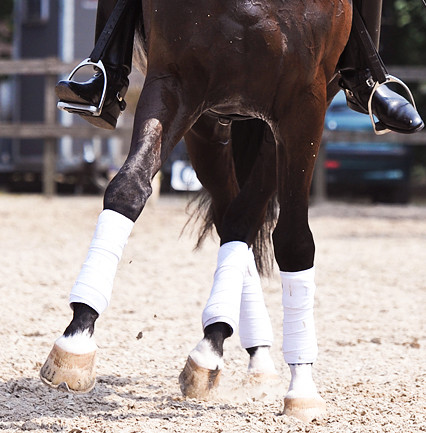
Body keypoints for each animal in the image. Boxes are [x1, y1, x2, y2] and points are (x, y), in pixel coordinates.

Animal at [40, 0, 352, 424]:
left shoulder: (305, 104)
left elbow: (293, 241)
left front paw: (302, 387)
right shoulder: (175, 83)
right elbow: (128, 189)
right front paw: (76, 338)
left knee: (243, 218)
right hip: (210, 126)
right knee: (232, 218)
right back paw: (232, 348)